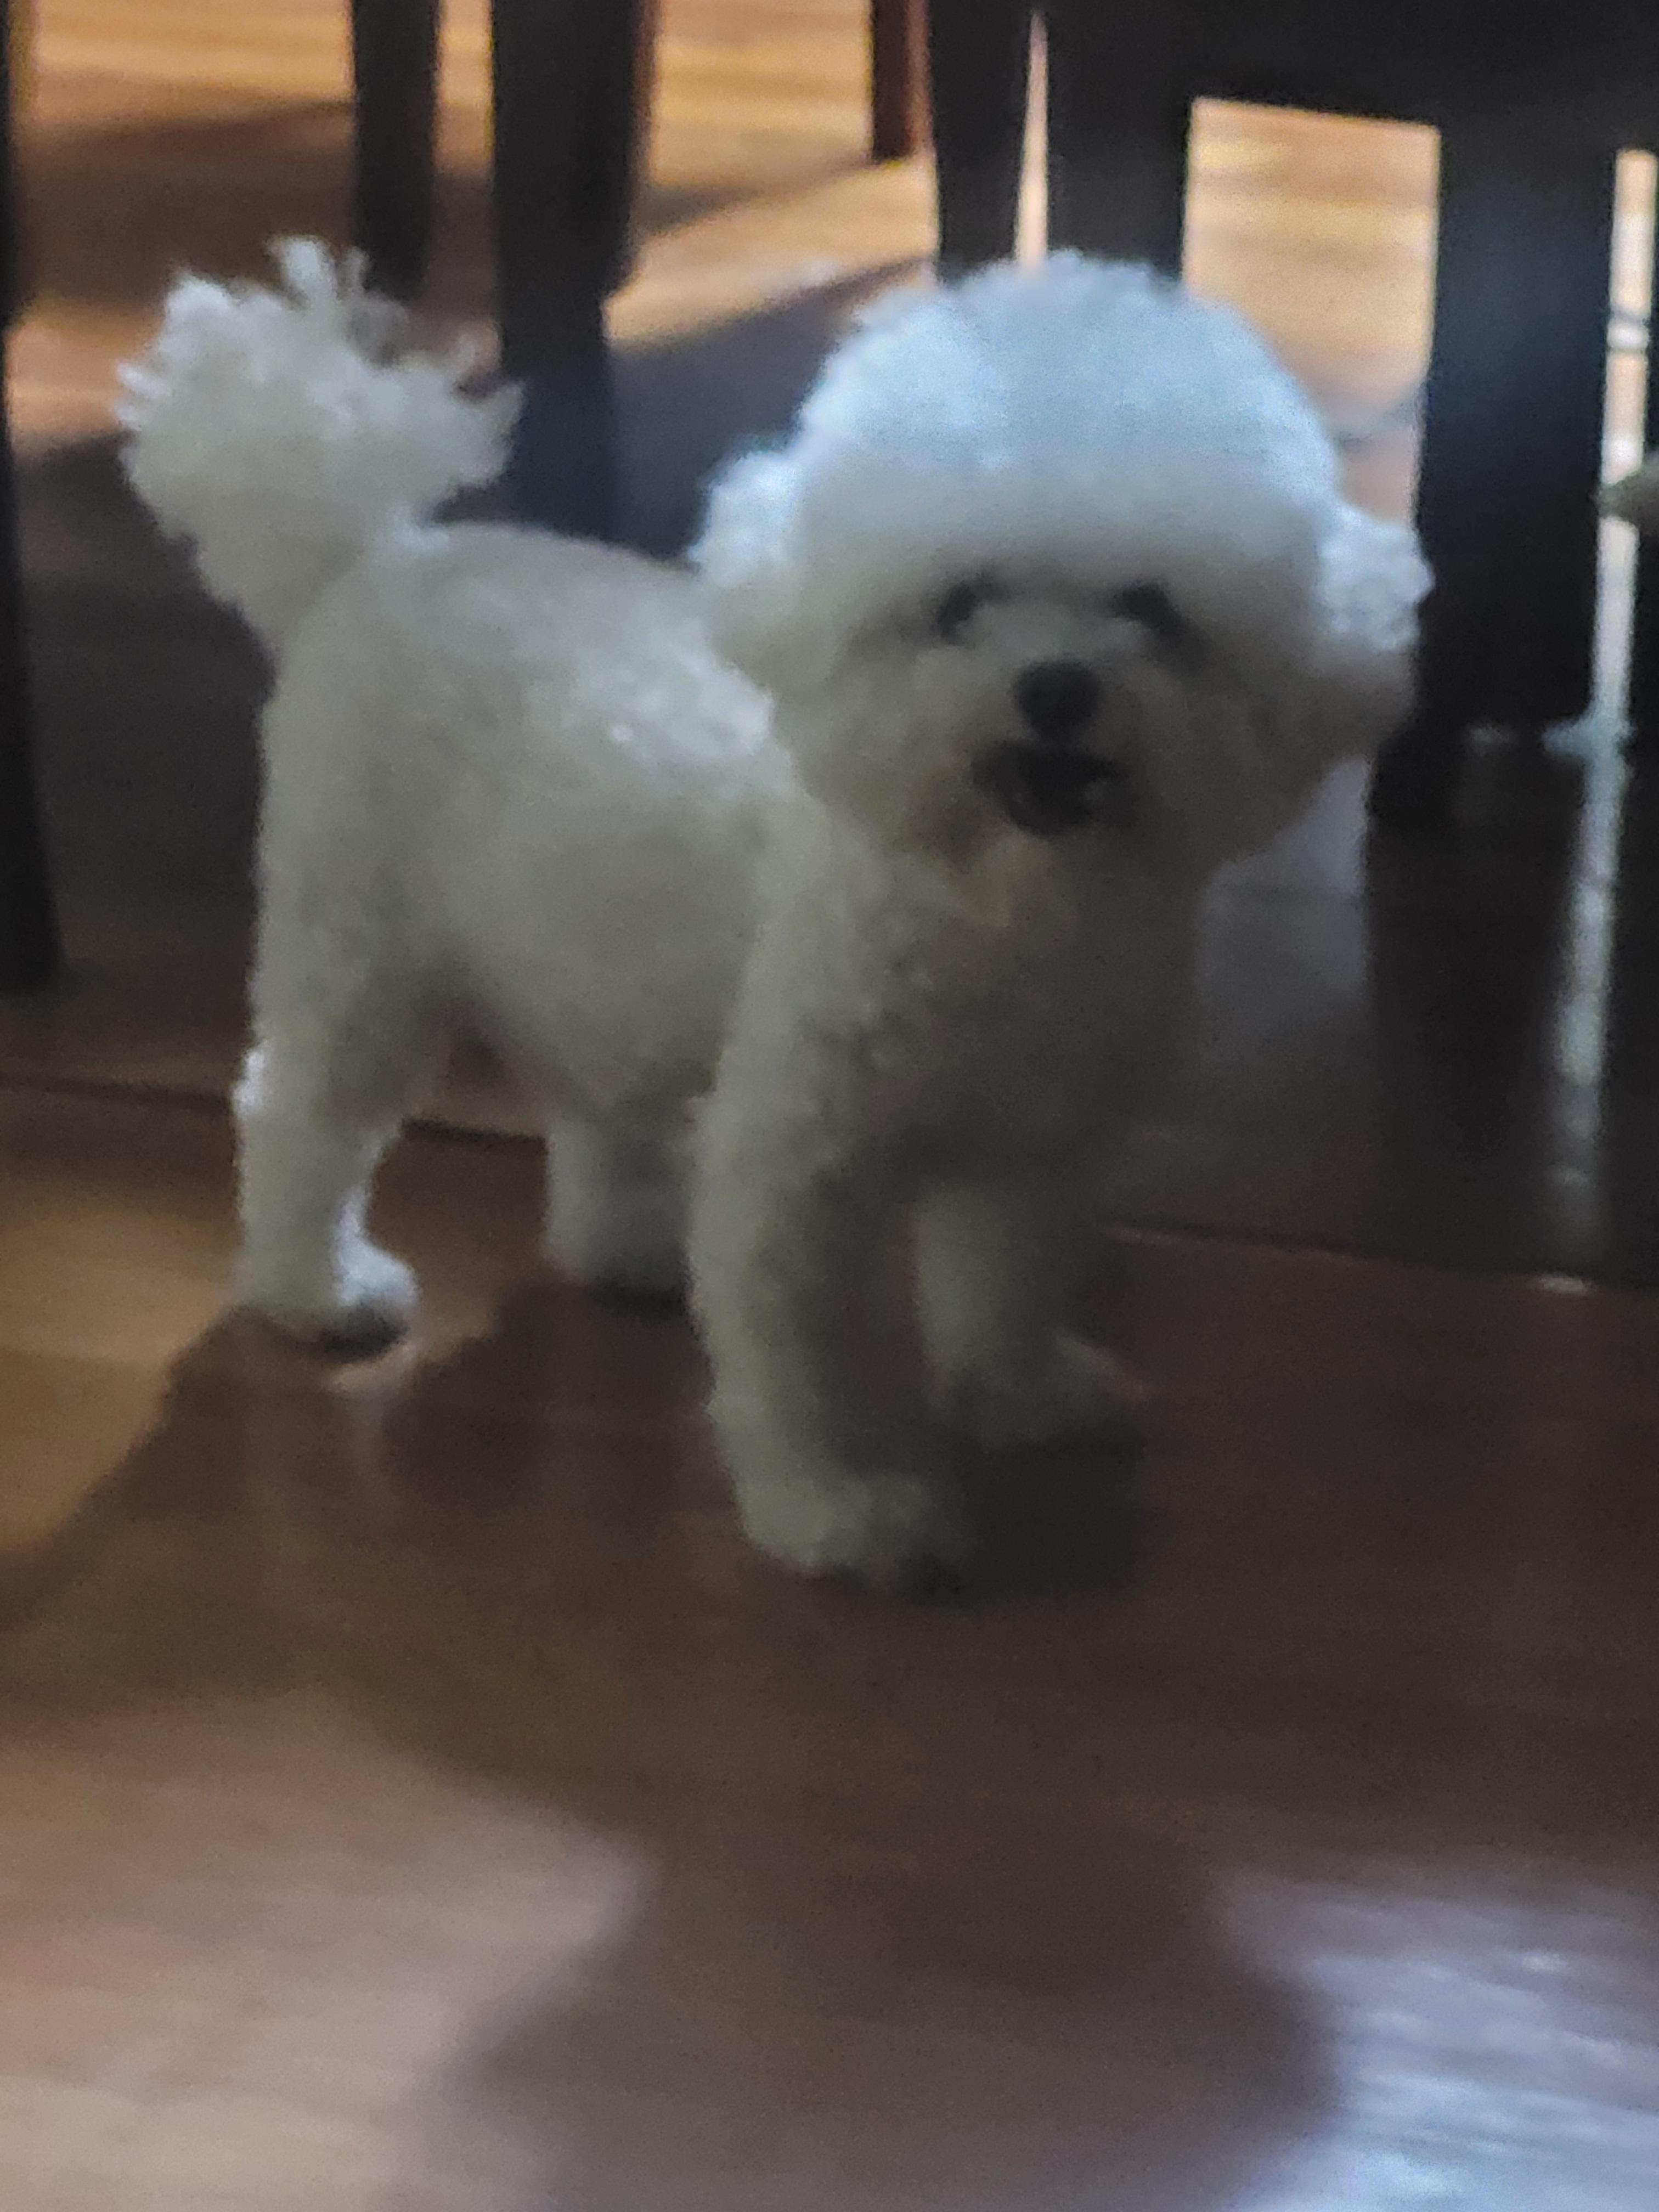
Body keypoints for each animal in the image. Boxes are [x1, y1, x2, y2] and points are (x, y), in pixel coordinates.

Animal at [121, 241, 1427, 1589]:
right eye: (960, 604)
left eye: (1152, 610)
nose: (1056, 687)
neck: (1004, 908)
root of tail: (372, 559)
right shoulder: (802, 1159)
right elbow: (801, 1352)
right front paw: (833, 1509)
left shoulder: (1036, 1143)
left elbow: (1008, 1286)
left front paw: (1016, 1397)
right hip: (362, 950)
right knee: (298, 1108)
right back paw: (311, 1287)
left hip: (590, 953)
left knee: (586, 1097)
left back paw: (624, 1249)